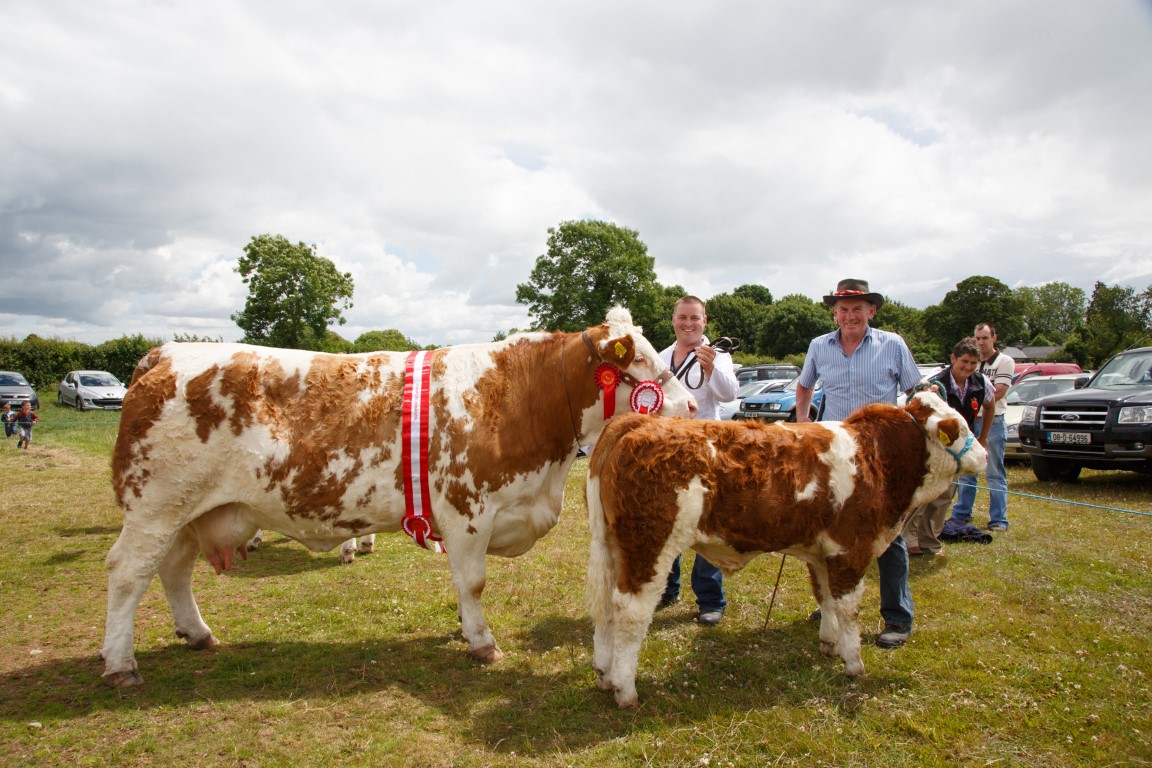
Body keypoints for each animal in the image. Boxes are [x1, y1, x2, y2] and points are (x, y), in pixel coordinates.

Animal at [100, 307, 694, 688]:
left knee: (172, 570)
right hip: (155, 506)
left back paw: (197, 633)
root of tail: (162, 353)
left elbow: (462, 586)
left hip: (187, 512)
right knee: (128, 573)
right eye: (640, 361)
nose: (690, 406)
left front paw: (464, 628)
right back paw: (121, 664)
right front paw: (481, 641)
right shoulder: (467, 511)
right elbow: (473, 582)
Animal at [585, 392, 987, 708]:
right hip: (650, 545)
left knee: (605, 606)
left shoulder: (823, 553)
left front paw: (830, 644)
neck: (876, 459)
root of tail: (636, 422)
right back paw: (625, 689)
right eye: (957, 426)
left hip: (613, 546)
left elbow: (826, 598)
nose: (983, 455)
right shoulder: (851, 549)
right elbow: (849, 608)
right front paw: (854, 663)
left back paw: (604, 674)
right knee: (631, 611)